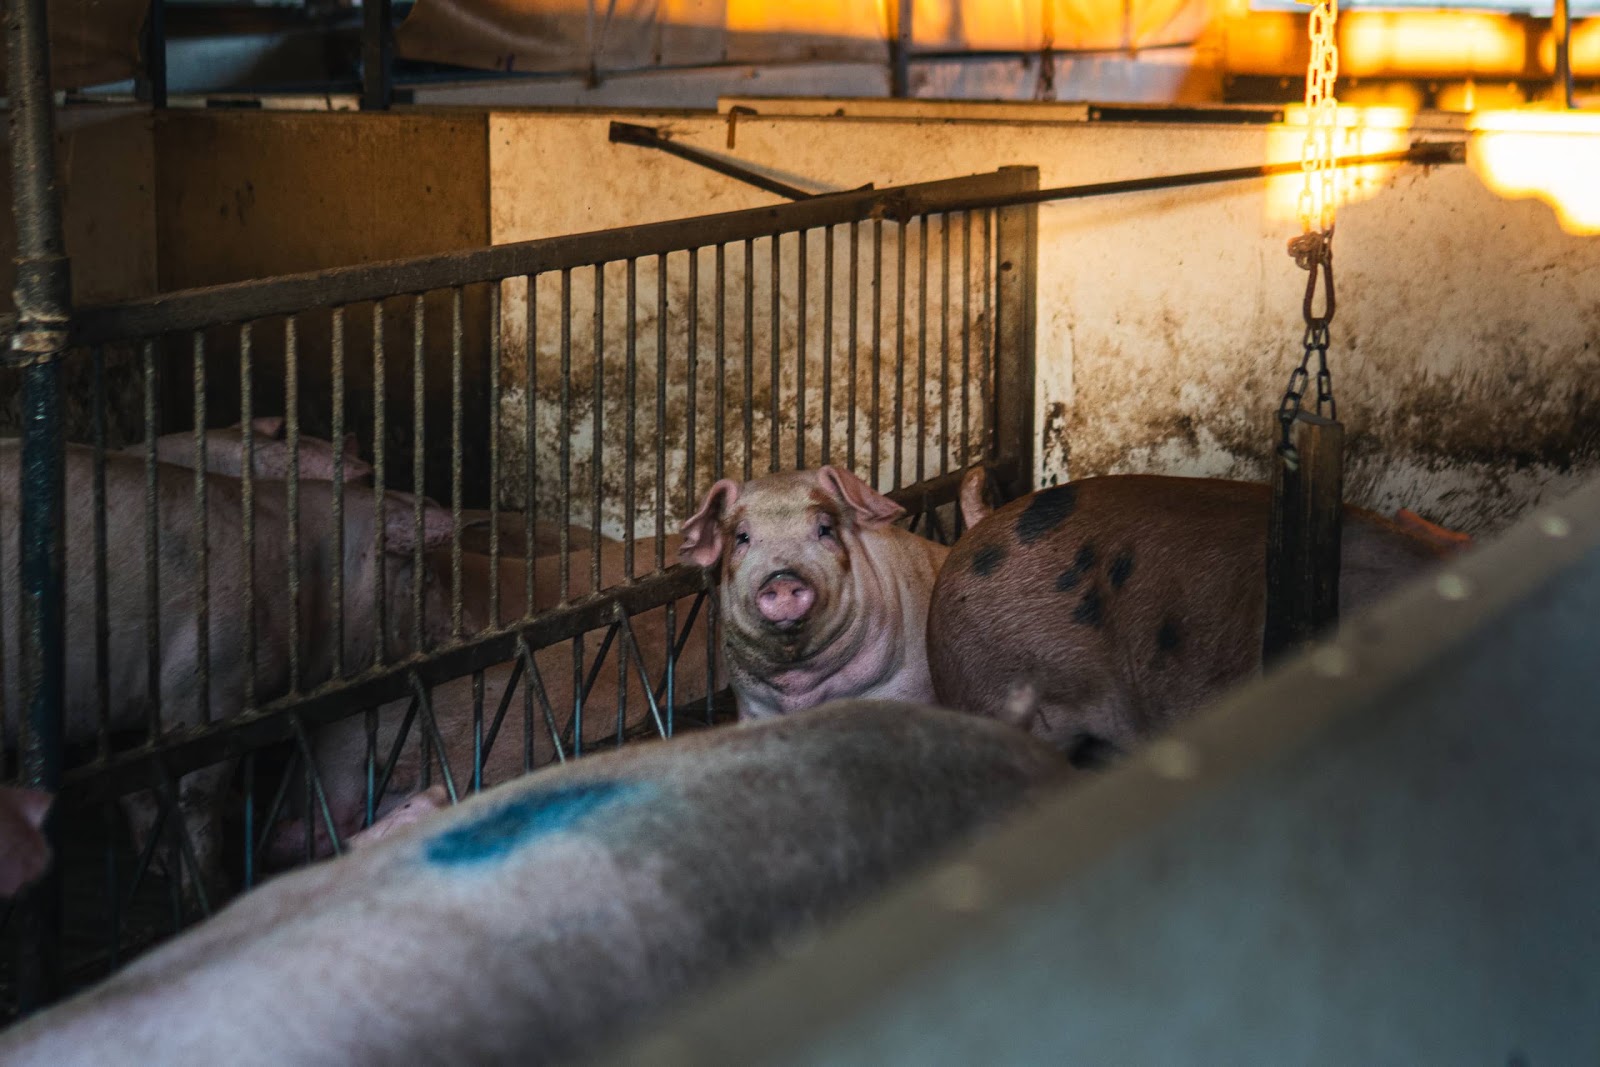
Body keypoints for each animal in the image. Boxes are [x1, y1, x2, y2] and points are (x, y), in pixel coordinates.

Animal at [0, 442, 455, 903]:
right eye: (426, 578)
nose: (464, 628)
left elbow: (137, 786)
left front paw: (162, 865)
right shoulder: (209, 686)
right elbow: (196, 793)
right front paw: (211, 889)